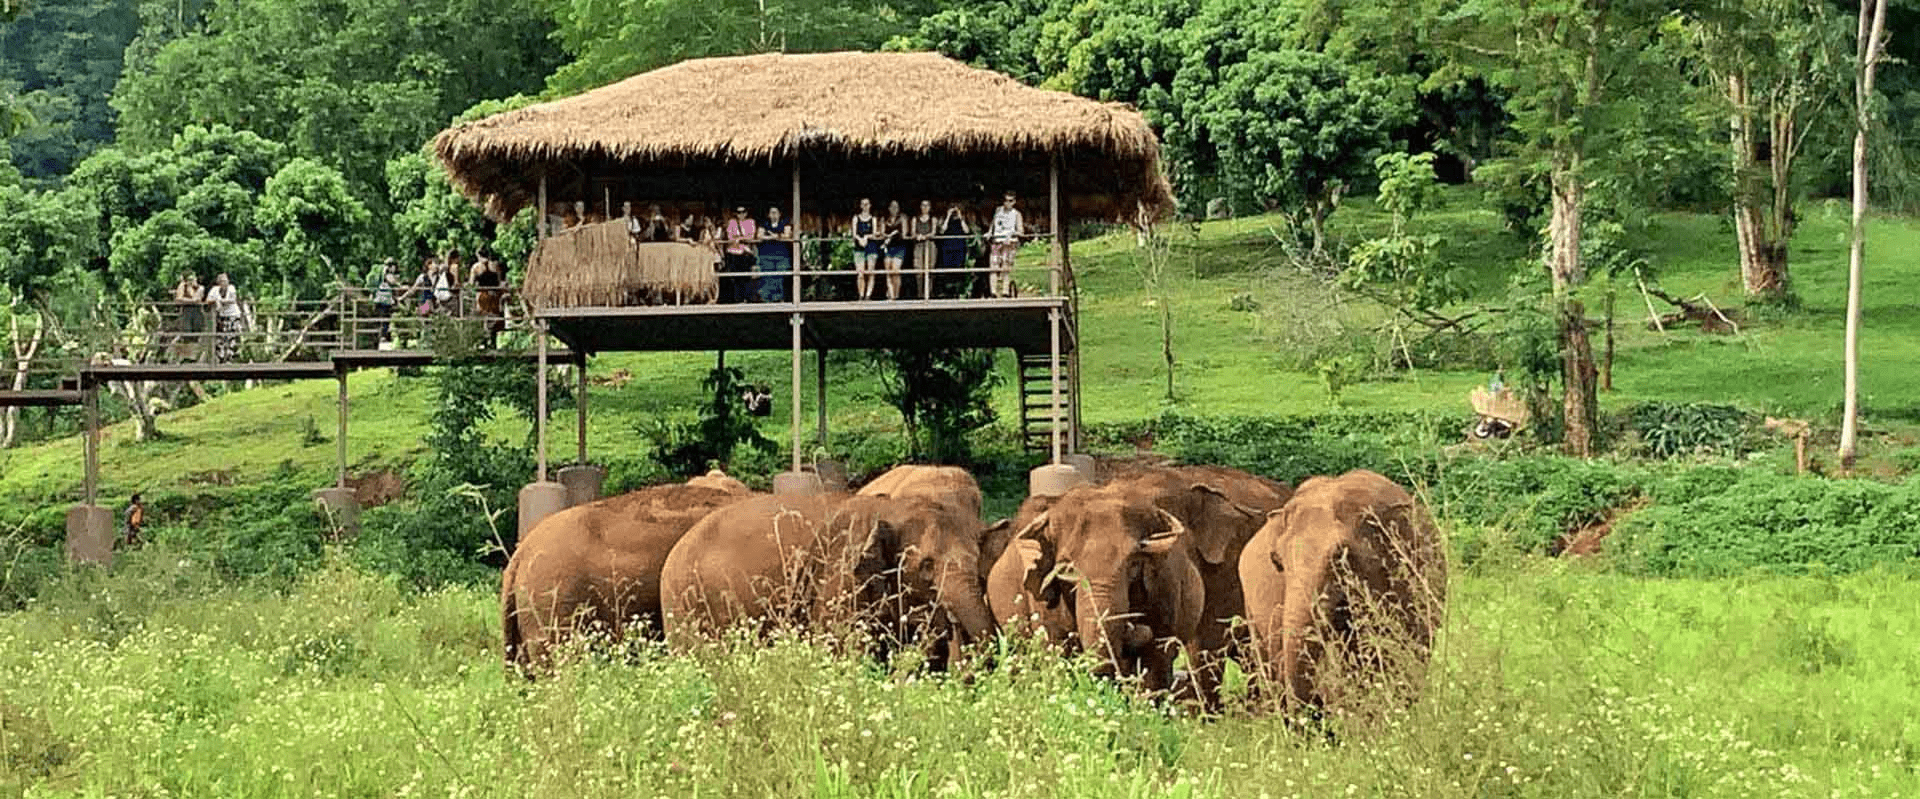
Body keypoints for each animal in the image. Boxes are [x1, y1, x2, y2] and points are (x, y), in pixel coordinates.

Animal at [656, 487, 990, 656]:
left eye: (978, 561)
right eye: (926, 566)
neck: (892, 510)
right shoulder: (838, 577)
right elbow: (842, 648)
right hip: (686, 607)